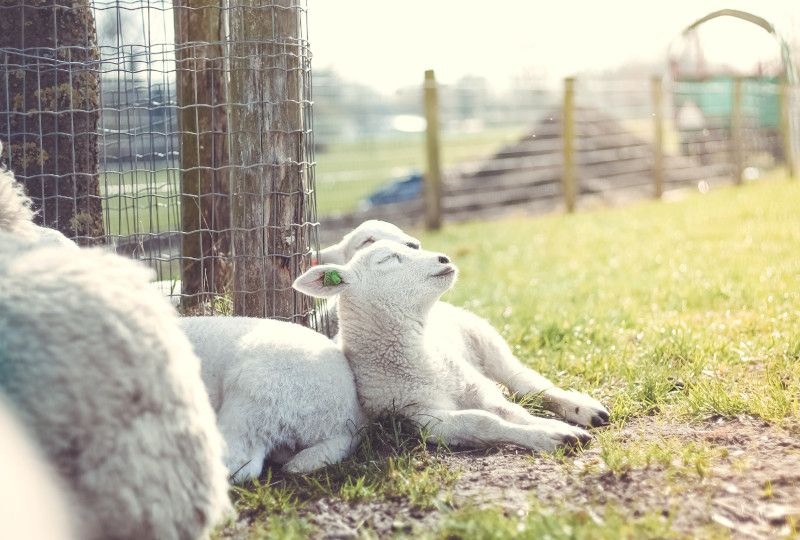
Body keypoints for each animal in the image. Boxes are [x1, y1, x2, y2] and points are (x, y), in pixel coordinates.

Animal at [296, 243, 604, 454]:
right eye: (387, 259)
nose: (443, 258)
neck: (420, 361)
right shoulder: (423, 417)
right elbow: (483, 422)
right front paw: (554, 436)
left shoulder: (474, 386)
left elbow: (511, 412)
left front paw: (557, 428)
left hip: (486, 339)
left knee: (527, 384)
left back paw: (584, 409)